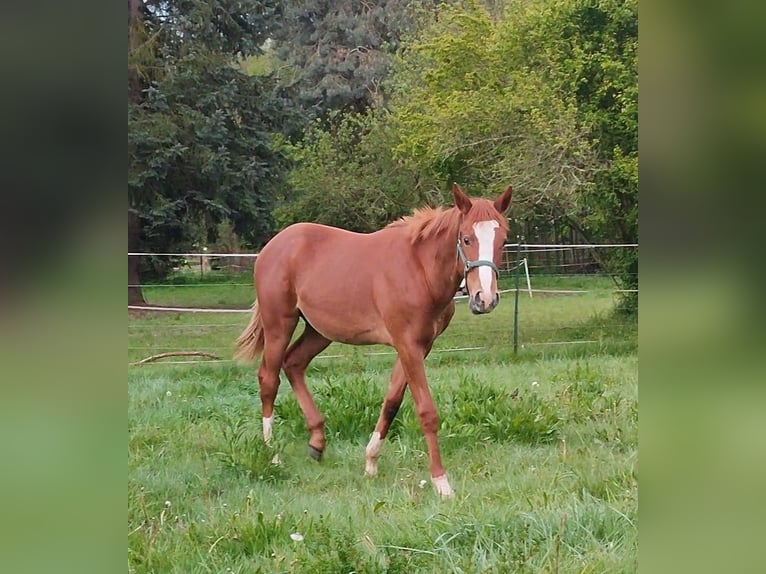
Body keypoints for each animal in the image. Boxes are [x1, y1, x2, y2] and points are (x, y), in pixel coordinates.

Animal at [232, 186, 510, 500]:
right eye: (466, 238)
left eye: (503, 240)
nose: (485, 299)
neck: (420, 269)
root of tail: (273, 246)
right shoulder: (408, 345)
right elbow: (426, 411)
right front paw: (441, 483)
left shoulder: (419, 347)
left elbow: (391, 402)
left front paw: (370, 462)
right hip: (279, 324)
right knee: (269, 378)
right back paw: (272, 452)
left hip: (319, 331)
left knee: (293, 364)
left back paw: (316, 442)